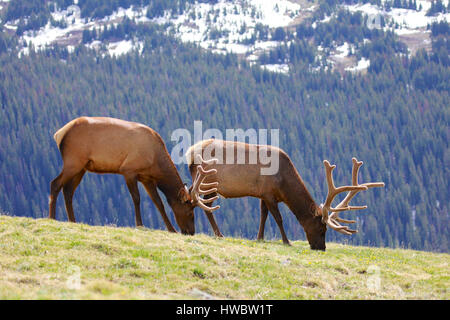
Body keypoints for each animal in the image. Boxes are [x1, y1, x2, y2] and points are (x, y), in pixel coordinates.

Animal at [48, 116, 218, 234]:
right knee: (55, 183)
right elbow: (136, 198)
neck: (155, 160)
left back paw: (72, 221)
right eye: (190, 212)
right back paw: (52, 217)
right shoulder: (129, 170)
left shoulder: (147, 178)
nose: (190, 232)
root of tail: (59, 133)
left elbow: (159, 203)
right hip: (73, 160)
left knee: (68, 190)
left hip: (82, 167)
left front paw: (171, 229)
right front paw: (139, 224)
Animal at [186, 139, 384, 250]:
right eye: (322, 229)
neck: (283, 183)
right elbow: (278, 218)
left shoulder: (263, 195)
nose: (321, 248)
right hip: (208, 182)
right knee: (202, 203)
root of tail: (190, 152)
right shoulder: (269, 194)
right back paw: (218, 233)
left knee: (192, 197)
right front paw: (287, 241)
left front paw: (260, 237)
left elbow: (264, 216)